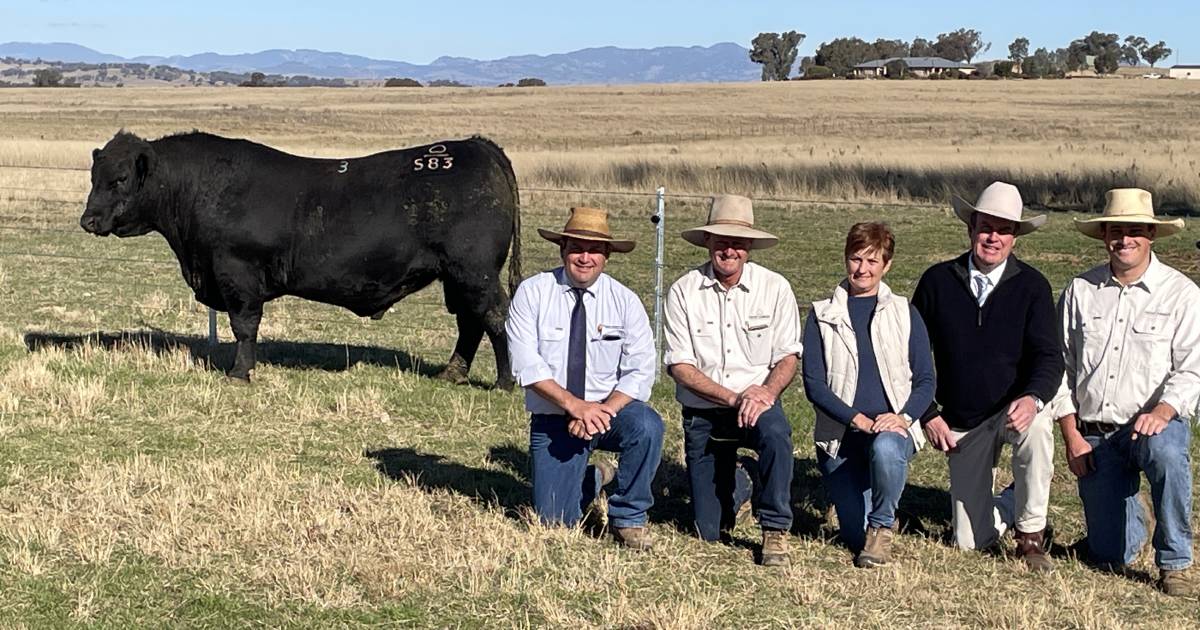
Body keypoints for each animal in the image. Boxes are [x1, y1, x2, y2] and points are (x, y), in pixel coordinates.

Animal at [79, 131, 520, 388]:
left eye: (120, 178)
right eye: (93, 176)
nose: (88, 220)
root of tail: (476, 145)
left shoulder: (237, 274)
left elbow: (244, 326)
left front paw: (239, 373)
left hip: (474, 271)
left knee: (494, 316)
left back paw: (503, 382)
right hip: (458, 277)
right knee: (470, 322)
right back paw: (452, 373)